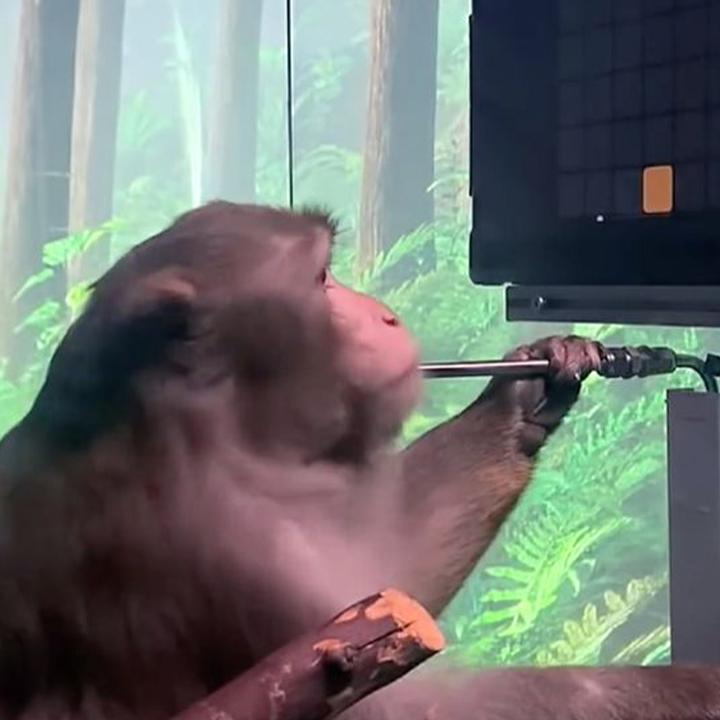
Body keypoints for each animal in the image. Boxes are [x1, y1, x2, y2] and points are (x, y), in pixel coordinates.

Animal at [0, 200, 717, 720]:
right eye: (321, 279)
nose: (387, 317)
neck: (211, 437)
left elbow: (393, 575)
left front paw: (530, 388)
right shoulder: (227, 551)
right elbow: (398, 703)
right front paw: (699, 687)